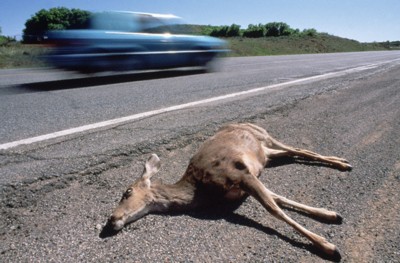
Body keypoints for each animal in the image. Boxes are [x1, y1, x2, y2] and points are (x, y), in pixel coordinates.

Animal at [108, 123, 352, 258]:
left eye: (127, 192)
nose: (111, 219)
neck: (200, 190)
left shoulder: (239, 174)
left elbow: (274, 209)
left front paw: (328, 246)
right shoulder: (244, 183)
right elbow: (279, 199)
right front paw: (330, 214)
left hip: (266, 137)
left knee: (301, 149)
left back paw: (344, 164)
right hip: (267, 152)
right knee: (297, 152)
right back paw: (342, 162)